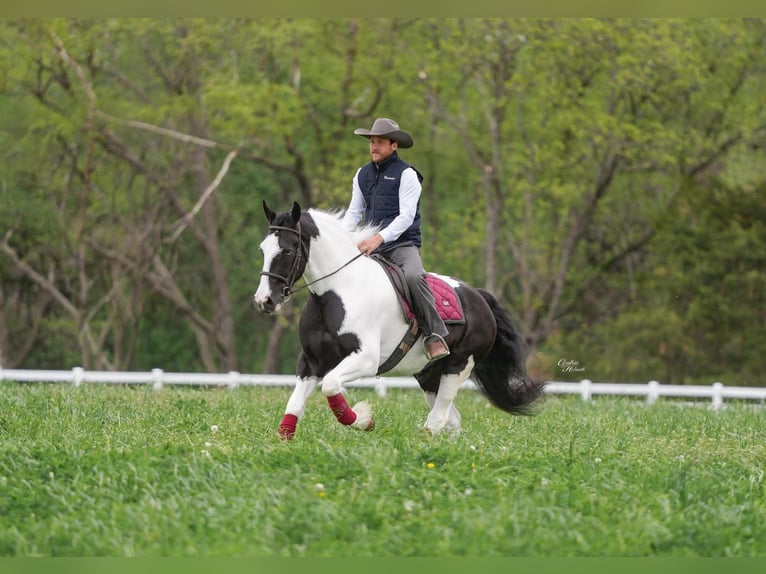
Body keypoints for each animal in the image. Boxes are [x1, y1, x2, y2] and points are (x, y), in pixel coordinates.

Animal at [254, 201, 544, 440]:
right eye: (263, 250)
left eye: (287, 251)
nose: (264, 301)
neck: (338, 292)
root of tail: (479, 298)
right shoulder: (311, 362)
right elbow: (294, 404)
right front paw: (284, 440)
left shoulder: (366, 359)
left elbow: (331, 385)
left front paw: (364, 419)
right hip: (428, 374)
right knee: (452, 419)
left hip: (457, 366)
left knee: (439, 418)